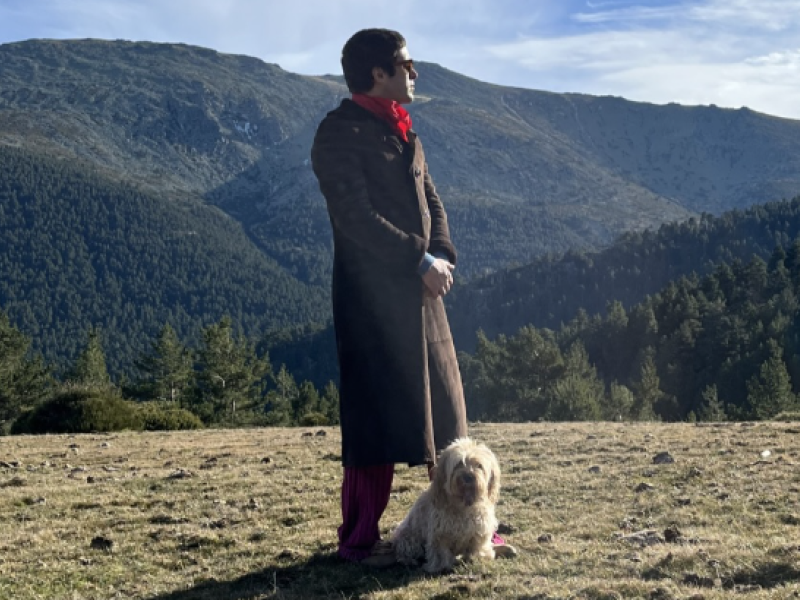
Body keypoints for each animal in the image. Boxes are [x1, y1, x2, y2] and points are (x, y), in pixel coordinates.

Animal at [392, 438, 500, 576]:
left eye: (479, 465)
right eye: (459, 463)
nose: (468, 477)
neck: (463, 505)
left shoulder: (479, 530)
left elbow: (477, 546)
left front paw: (478, 558)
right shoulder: (439, 534)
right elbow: (440, 552)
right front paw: (441, 566)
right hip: (409, 537)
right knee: (405, 551)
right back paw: (408, 560)